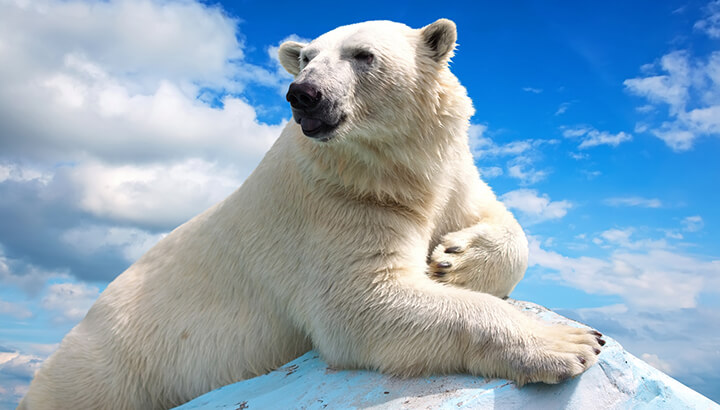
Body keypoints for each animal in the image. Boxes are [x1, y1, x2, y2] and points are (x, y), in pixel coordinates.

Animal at [20, 19, 603, 410]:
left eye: (363, 54)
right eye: (306, 58)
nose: (304, 94)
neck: (387, 172)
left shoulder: (450, 175)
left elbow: (497, 219)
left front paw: (452, 260)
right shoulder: (333, 205)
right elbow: (363, 304)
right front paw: (570, 343)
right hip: (110, 372)